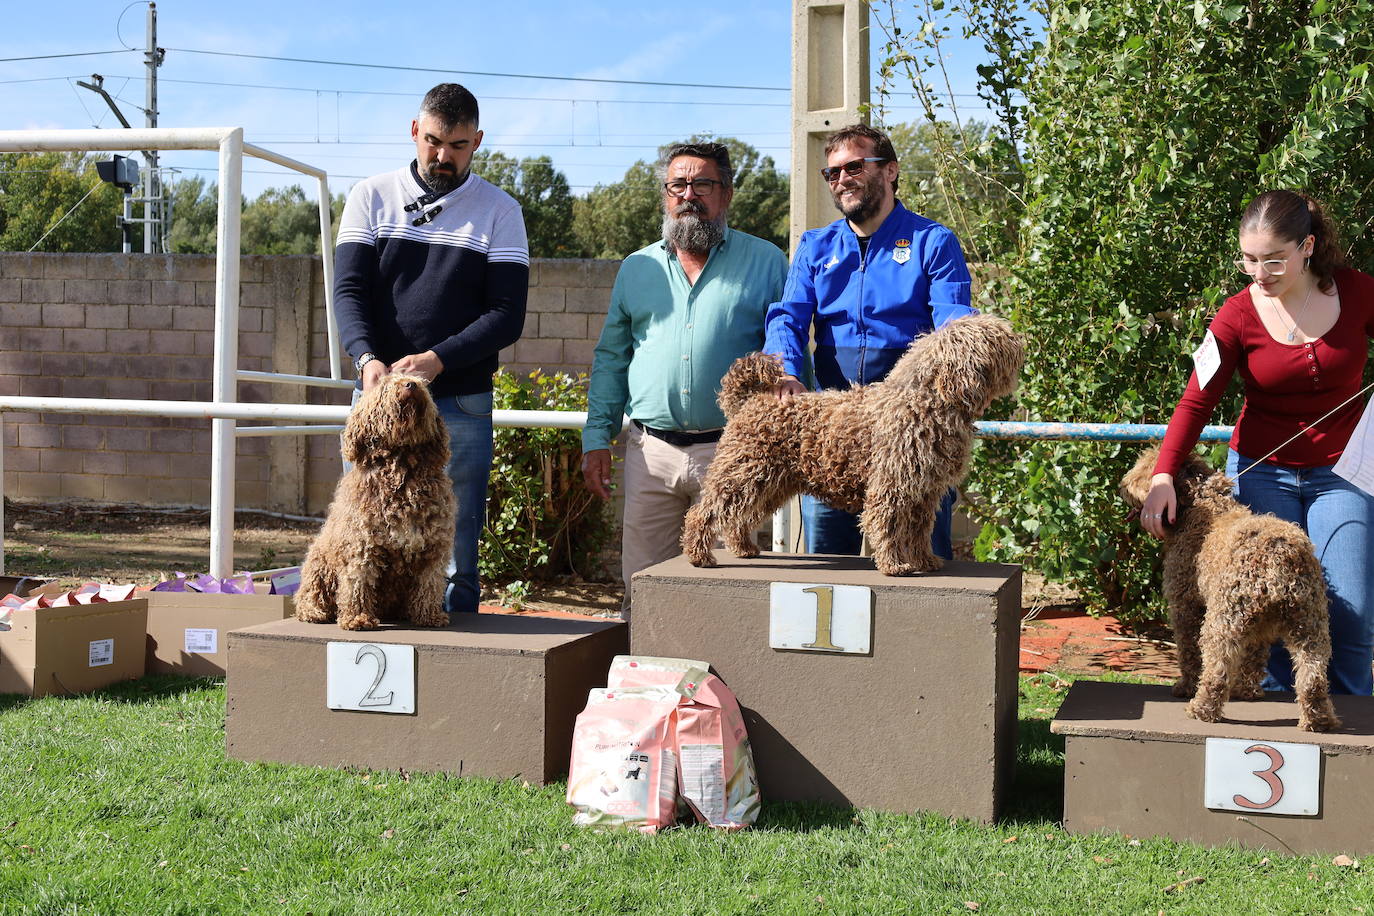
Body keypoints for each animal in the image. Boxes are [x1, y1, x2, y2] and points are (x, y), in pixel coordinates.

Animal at [295, 373, 456, 631]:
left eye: (422, 383)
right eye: (385, 383)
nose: (411, 385)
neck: (403, 471)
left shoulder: (433, 548)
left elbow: (429, 584)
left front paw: (429, 615)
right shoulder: (362, 545)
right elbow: (358, 582)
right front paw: (358, 618)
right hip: (319, 564)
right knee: (310, 594)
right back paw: (314, 611)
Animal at [681, 313, 1027, 574]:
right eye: (994, 337)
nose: (1019, 340)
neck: (926, 401)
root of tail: (750, 401)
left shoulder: (924, 491)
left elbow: (918, 530)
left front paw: (924, 560)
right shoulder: (893, 485)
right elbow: (887, 523)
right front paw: (894, 565)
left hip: (770, 483)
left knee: (740, 516)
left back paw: (744, 548)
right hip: (743, 473)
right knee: (704, 512)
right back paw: (699, 555)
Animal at [1121, 447, 1335, 736]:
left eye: (1139, 471)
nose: (1122, 487)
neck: (1202, 504)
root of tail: (1278, 554)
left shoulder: (1185, 605)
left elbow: (1189, 652)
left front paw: (1186, 686)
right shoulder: (1258, 627)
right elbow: (1253, 657)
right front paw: (1247, 691)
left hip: (1224, 620)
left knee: (1217, 668)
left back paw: (1201, 708)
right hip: (1309, 622)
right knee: (1312, 674)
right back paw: (1318, 720)